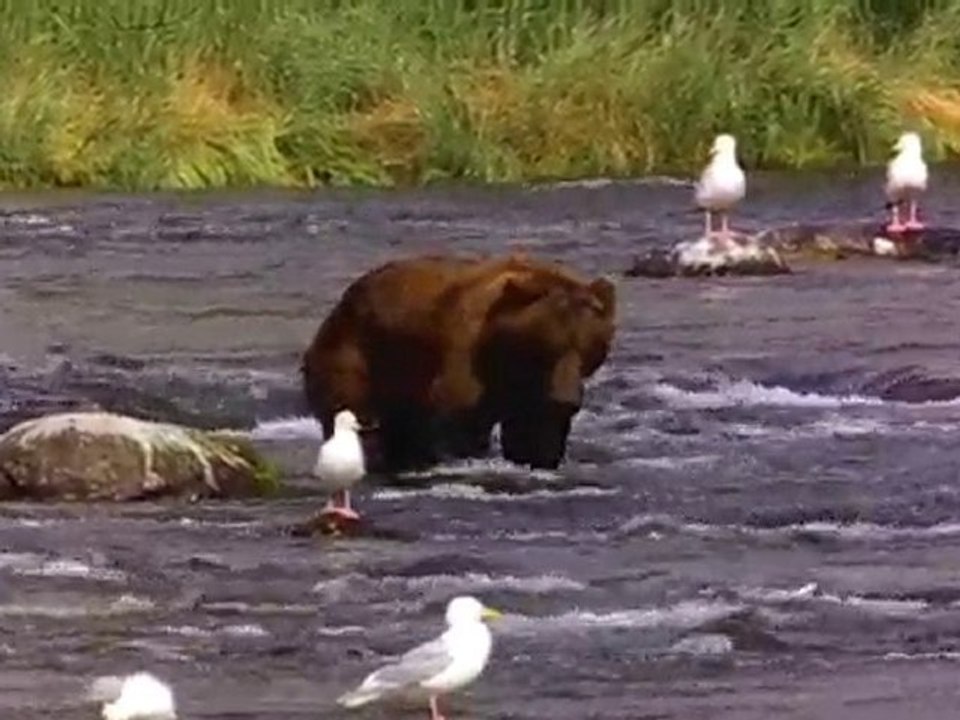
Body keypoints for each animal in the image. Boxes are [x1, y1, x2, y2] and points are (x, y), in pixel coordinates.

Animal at [301, 253, 617, 473]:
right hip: (357, 357)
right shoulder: (464, 358)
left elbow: (536, 433)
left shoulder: (534, 394)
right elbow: (461, 426)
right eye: (549, 345)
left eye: (591, 348)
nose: (567, 399)